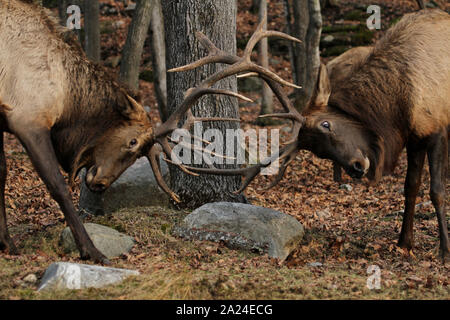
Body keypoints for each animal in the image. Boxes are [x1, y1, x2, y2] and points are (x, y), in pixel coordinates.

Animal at [0, 0, 250, 262]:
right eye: (132, 142)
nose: (100, 184)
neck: (66, 101)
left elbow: (1, 172)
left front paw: (7, 243)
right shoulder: (28, 118)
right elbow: (58, 186)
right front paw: (91, 250)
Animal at [174, 10, 448, 262]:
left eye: (326, 124)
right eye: (320, 153)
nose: (357, 167)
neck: (397, 107)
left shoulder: (436, 128)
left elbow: (436, 190)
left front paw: (443, 251)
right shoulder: (414, 136)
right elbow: (410, 187)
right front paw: (405, 244)